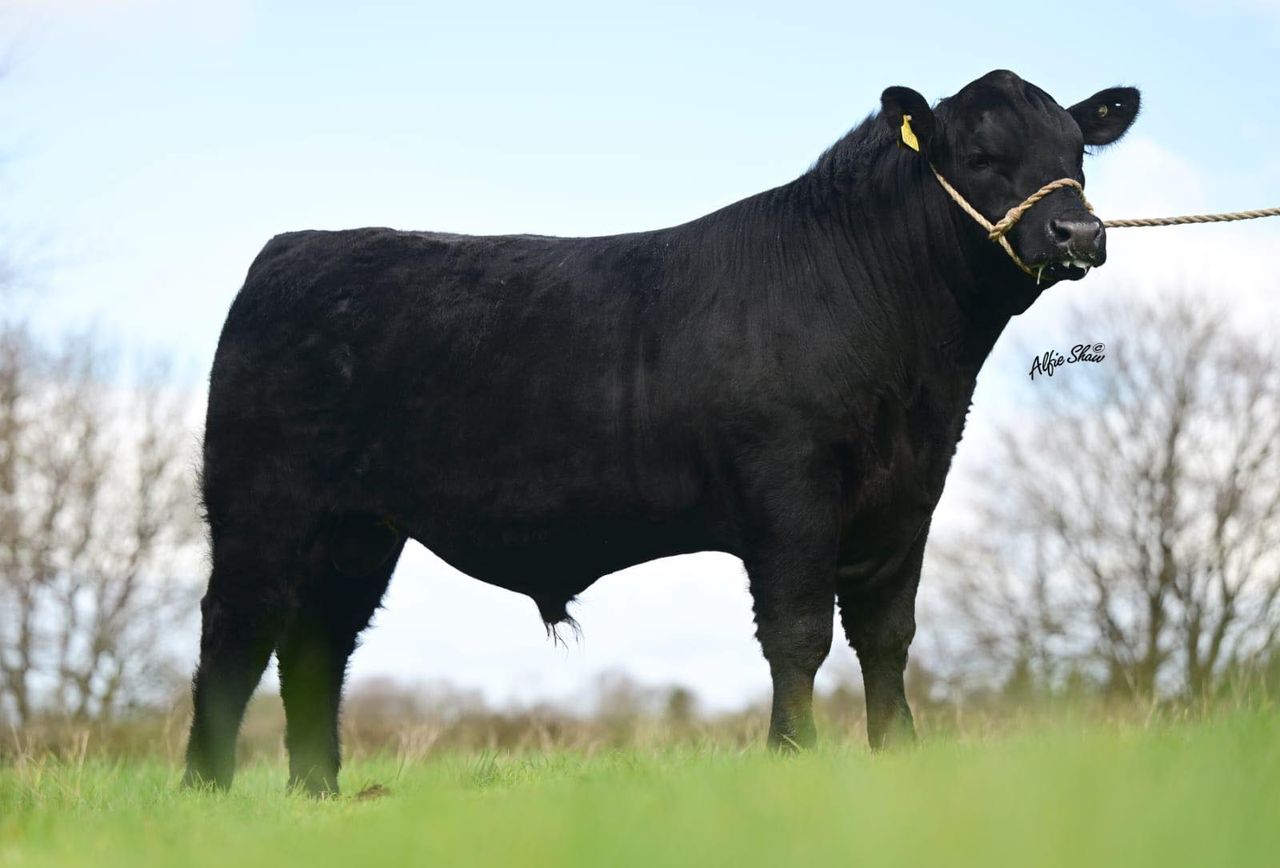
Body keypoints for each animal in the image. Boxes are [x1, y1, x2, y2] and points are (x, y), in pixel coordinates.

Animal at [183, 69, 1140, 795]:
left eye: (1075, 155)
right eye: (980, 156)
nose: (1078, 230)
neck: (918, 376)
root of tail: (295, 249)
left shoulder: (907, 497)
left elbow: (887, 635)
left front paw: (899, 757)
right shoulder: (790, 491)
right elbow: (799, 632)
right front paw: (792, 758)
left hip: (359, 529)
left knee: (318, 644)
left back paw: (318, 793)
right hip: (262, 503)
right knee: (235, 632)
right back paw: (208, 788)